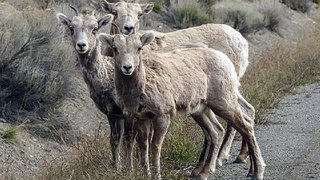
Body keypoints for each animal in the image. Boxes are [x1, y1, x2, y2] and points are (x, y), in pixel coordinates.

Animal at [100, 32, 264, 180]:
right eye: (115, 48)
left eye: (139, 48)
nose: (127, 67)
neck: (141, 87)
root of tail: (225, 59)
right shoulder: (143, 118)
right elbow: (143, 145)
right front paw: (146, 174)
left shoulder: (163, 116)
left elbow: (155, 146)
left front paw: (157, 175)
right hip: (201, 110)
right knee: (217, 131)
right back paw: (204, 173)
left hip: (224, 102)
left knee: (246, 128)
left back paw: (257, 172)